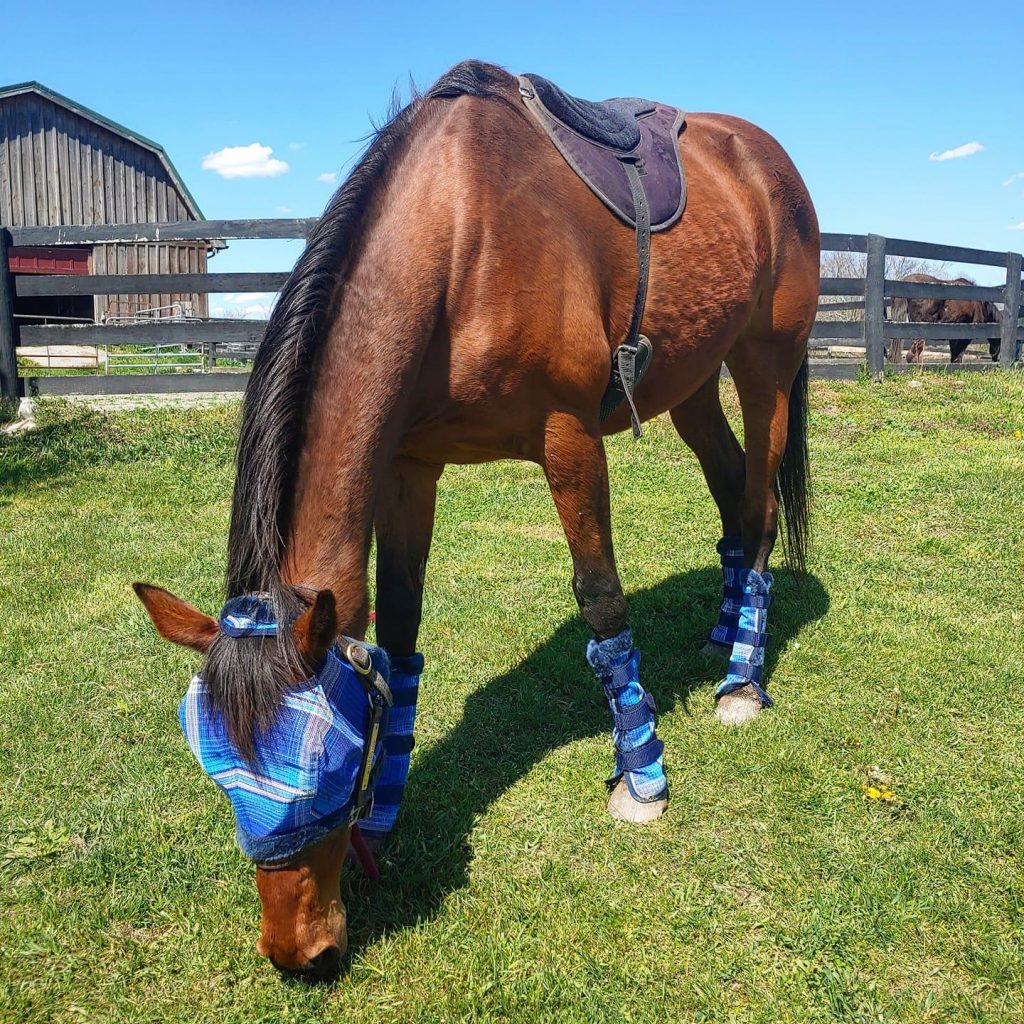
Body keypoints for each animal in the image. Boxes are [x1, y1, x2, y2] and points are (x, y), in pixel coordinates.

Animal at [134, 60, 819, 979]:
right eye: (215, 770)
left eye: (323, 767)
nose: (296, 953)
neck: (459, 238)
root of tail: (763, 152)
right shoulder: (408, 466)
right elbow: (400, 629)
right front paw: (389, 810)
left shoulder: (569, 440)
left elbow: (600, 598)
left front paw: (642, 779)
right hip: (692, 379)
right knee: (729, 495)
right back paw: (720, 634)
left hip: (766, 364)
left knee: (760, 504)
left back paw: (741, 681)